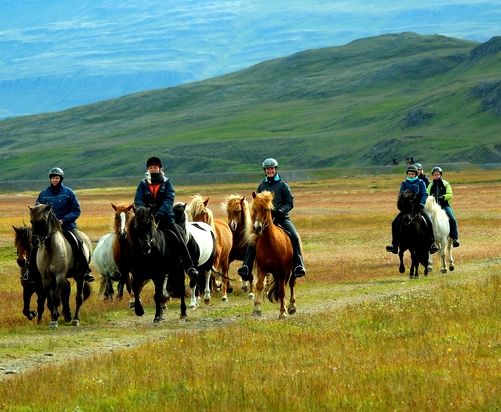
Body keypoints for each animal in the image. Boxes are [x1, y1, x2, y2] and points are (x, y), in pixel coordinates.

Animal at [247, 192, 296, 320]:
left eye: (267, 209)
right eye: (254, 208)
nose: (257, 228)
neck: (270, 242)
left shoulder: (282, 270)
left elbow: (282, 291)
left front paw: (283, 313)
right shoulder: (262, 268)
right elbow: (259, 285)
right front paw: (257, 309)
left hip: (291, 270)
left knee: (291, 283)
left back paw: (292, 307)